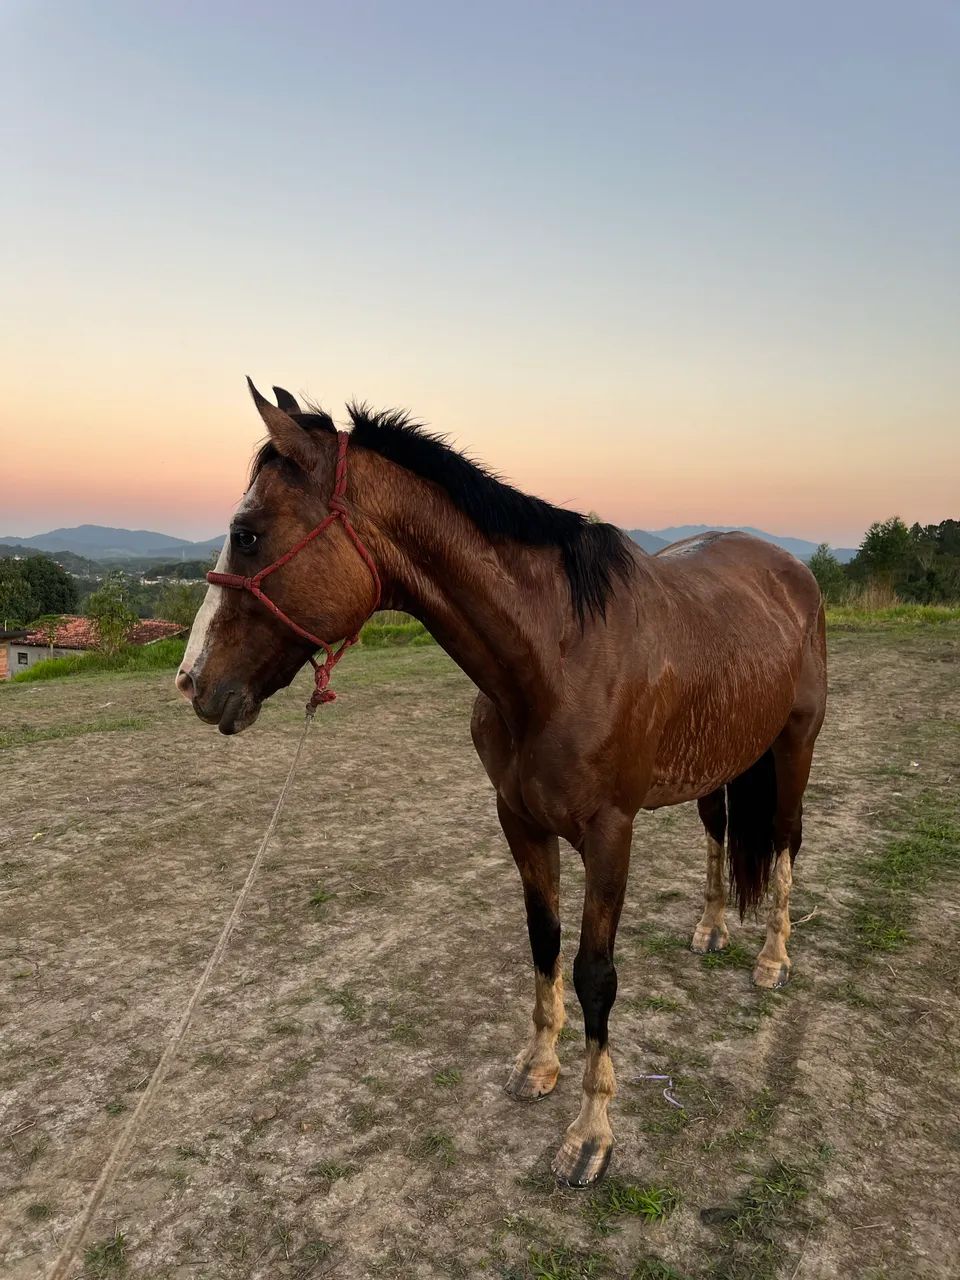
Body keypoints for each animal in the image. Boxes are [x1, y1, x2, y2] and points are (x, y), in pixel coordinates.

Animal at [176, 380, 827, 1188]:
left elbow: (595, 974)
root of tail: (790, 569)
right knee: (720, 831)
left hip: (794, 747)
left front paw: (590, 1134)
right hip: (718, 760)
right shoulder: (519, 820)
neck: (557, 655)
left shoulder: (610, 834)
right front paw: (538, 1068)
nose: (193, 681)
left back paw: (772, 959)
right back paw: (710, 929)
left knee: (786, 842)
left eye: (248, 533)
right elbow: (544, 944)